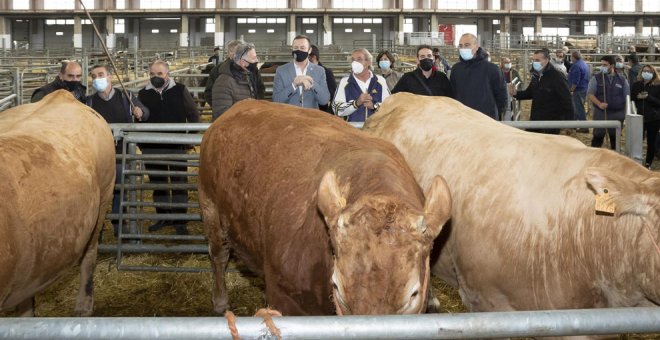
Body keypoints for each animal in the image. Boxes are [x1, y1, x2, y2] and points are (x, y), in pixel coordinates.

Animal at [199, 99, 452, 316]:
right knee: (218, 255)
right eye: (337, 288)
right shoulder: (285, 297)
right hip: (210, 206)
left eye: (413, 294)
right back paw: (220, 302)